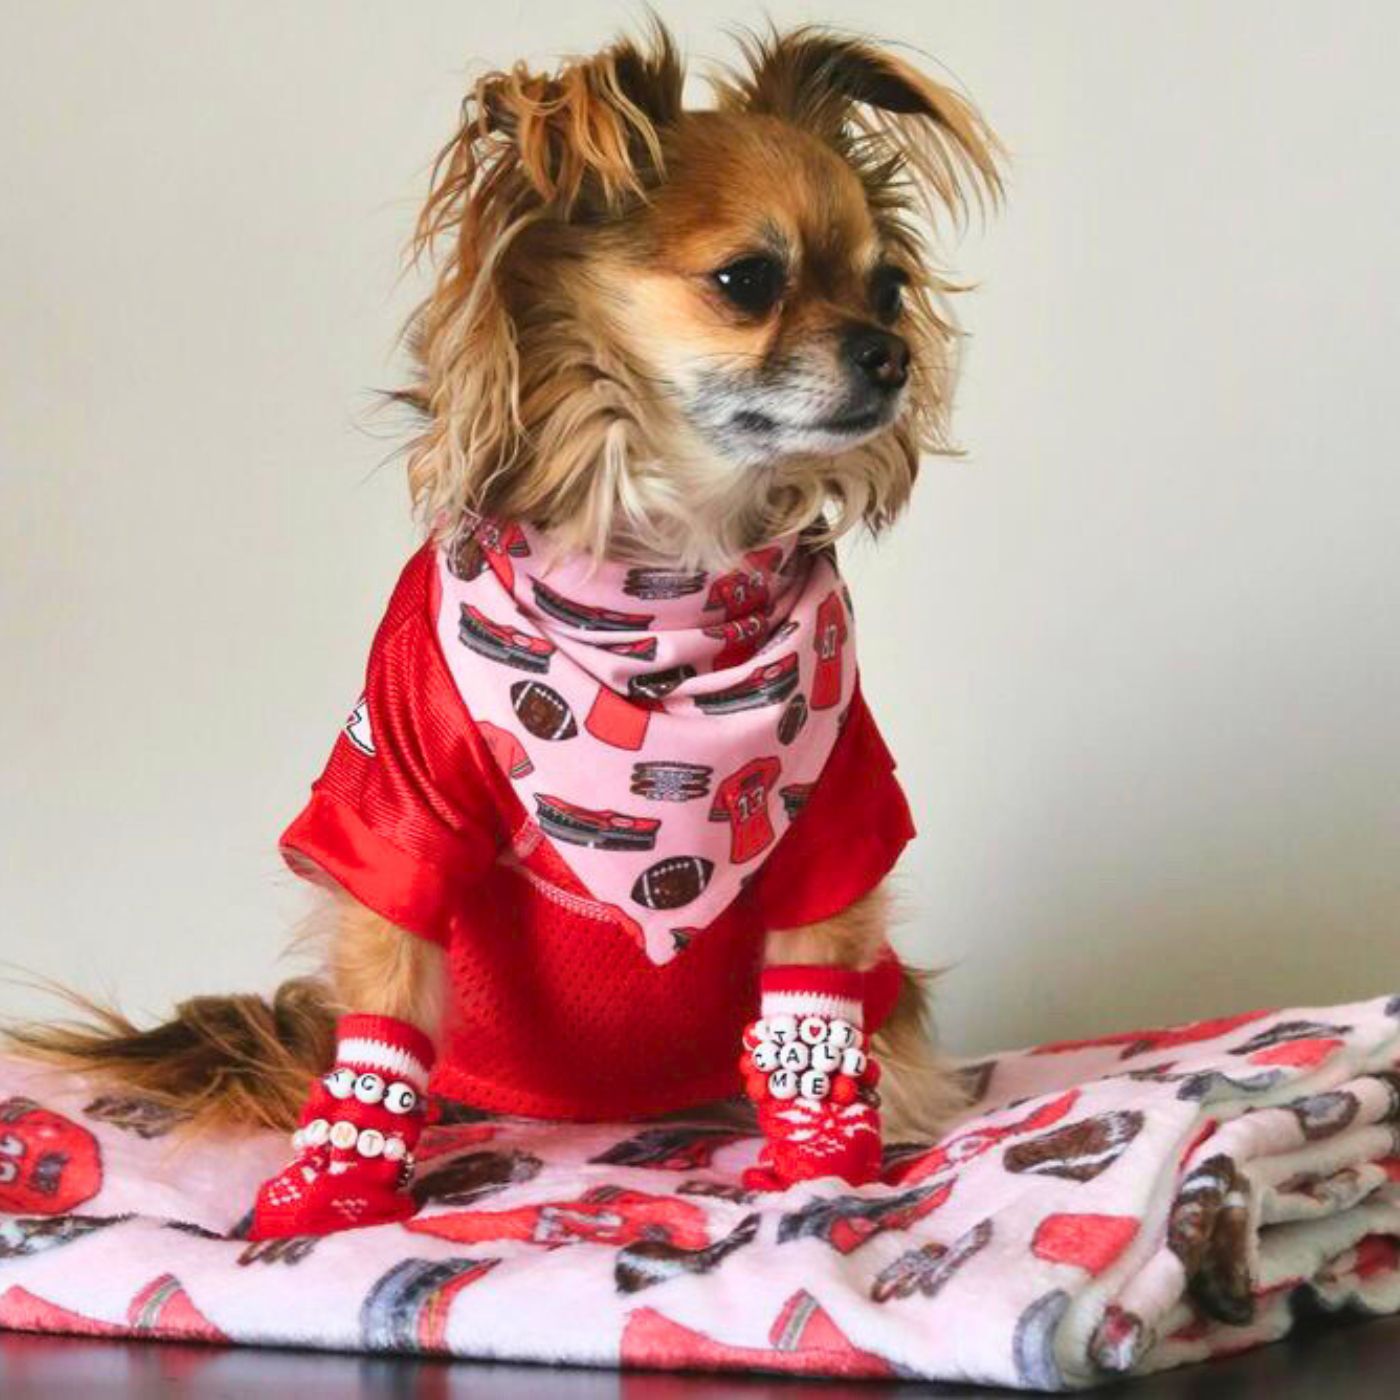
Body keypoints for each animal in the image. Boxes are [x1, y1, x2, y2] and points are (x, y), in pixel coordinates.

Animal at [8, 21, 996, 1237]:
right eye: (748, 281)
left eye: (889, 288)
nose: (888, 352)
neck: (660, 587)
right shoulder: (397, 810)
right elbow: (382, 1011)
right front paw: (336, 1189)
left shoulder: (831, 830)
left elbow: (815, 1003)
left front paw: (824, 1159)